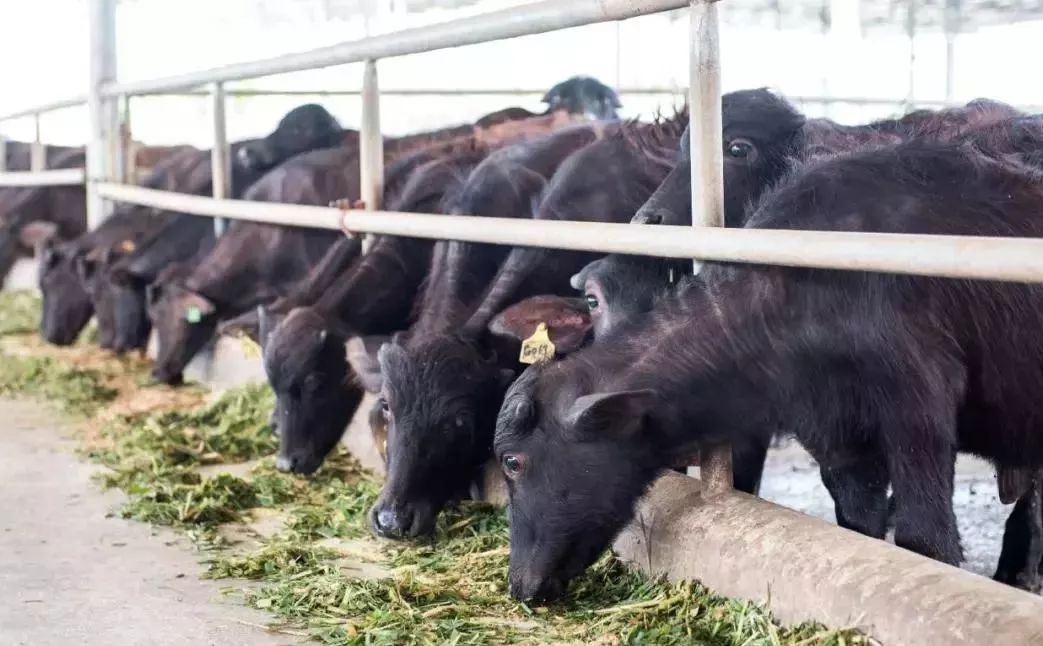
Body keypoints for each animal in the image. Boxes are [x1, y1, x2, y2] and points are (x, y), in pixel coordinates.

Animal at [494, 138, 1043, 605]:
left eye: (513, 462)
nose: (521, 584)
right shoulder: (836, 437)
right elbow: (858, 524)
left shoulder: (918, 411)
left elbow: (925, 539)